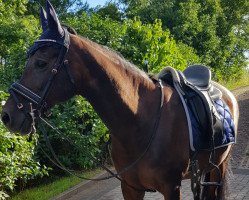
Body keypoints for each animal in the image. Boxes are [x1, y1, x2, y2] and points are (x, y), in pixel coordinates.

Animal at [0, 1, 239, 198]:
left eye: (41, 63)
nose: (8, 115)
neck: (139, 120)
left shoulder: (171, 187)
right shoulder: (130, 187)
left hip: (219, 166)